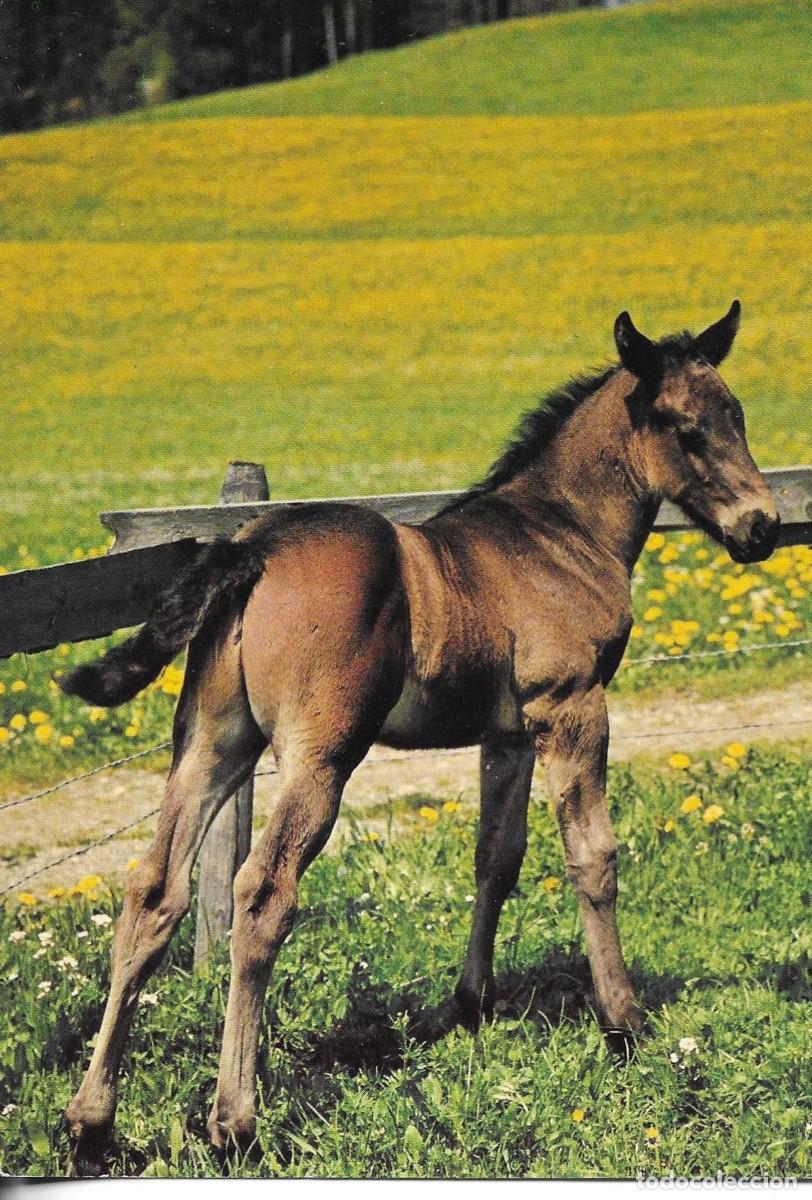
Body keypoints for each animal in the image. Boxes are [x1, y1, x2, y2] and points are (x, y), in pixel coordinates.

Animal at [59, 302, 779, 1165]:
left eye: (737, 416)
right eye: (684, 427)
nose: (762, 527)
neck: (560, 535)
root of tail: (253, 545)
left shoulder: (510, 734)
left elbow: (496, 858)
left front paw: (468, 1007)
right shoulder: (572, 706)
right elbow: (593, 857)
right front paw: (624, 1023)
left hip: (210, 742)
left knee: (153, 889)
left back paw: (91, 1121)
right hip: (320, 755)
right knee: (261, 894)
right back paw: (234, 1121)